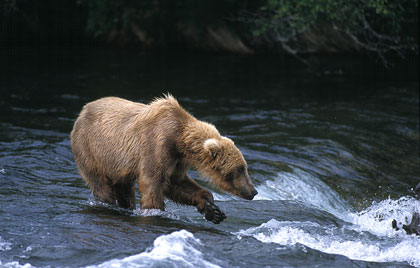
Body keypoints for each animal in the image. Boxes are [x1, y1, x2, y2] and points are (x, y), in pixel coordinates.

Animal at [70, 95, 258, 223]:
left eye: (244, 167)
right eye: (240, 169)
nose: (253, 191)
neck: (179, 139)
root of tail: (82, 111)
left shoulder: (177, 159)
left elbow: (177, 183)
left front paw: (212, 209)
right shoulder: (156, 144)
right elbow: (152, 183)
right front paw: (155, 210)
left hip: (117, 165)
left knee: (124, 188)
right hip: (90, 150)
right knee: (101, 186)